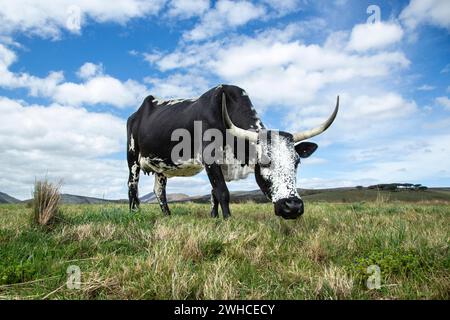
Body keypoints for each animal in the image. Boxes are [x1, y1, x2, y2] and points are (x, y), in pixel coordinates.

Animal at [126, 84, 338, 220]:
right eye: (265, 162)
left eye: (297, 162)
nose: (292, 206)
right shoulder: (210, 159)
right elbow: (222, 192)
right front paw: (228, 220)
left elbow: (213, 194)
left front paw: (214, 218)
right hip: (132, 158)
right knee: (132, 186)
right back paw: (134, 214)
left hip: (160, 167)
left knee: (159, 190)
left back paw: (168, 216)